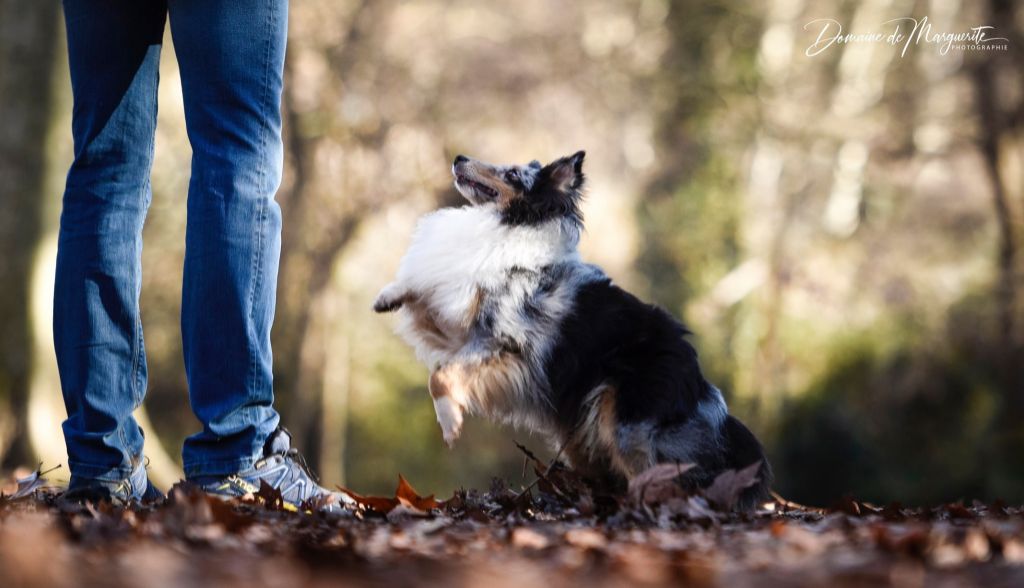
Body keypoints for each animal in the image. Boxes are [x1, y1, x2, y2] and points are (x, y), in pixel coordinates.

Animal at [374, 153, 770, 512]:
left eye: (513, 173)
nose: (458, 157)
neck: (515, 226)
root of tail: (700, 383)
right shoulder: (461, 327)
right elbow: (425, 288)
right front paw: (388, 296)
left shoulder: (506, 345)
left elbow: (439, 376)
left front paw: (450, 423)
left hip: (625, 426)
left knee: (662, 479)